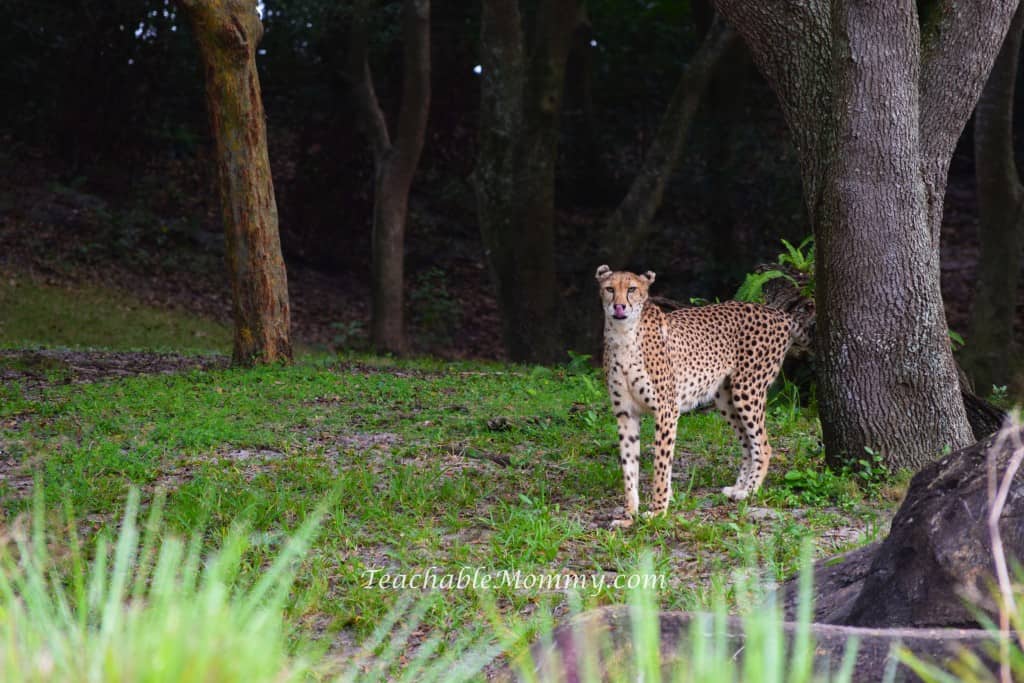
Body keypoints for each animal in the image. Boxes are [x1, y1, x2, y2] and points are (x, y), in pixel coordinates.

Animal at [598, 264, 802, 528]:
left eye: (632, 289)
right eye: (610, 289)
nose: (619, 307)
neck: (623, 335)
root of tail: (777, 312)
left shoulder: (666, 411)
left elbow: (661, 465)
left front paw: (658, 511)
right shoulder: (625, 414)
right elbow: (629, 467)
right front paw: (629, 515)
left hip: (747, 390)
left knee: (763, 445)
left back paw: (749, 492)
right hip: (726, 398)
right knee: (747, 443)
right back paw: (738, 488)